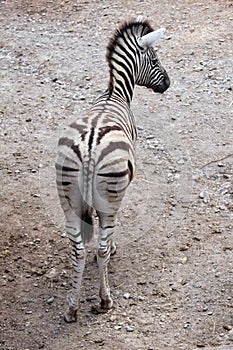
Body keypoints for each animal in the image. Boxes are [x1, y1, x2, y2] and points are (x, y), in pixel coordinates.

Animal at [55, 17, 170, 322]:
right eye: (155, 59)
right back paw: (105, 300)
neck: (113, 93)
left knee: (77, 249)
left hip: (68, 196)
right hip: (111, 193)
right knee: (102, 247)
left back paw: (72, 307)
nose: (168, 84)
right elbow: (106, 239)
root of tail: (90, 144)